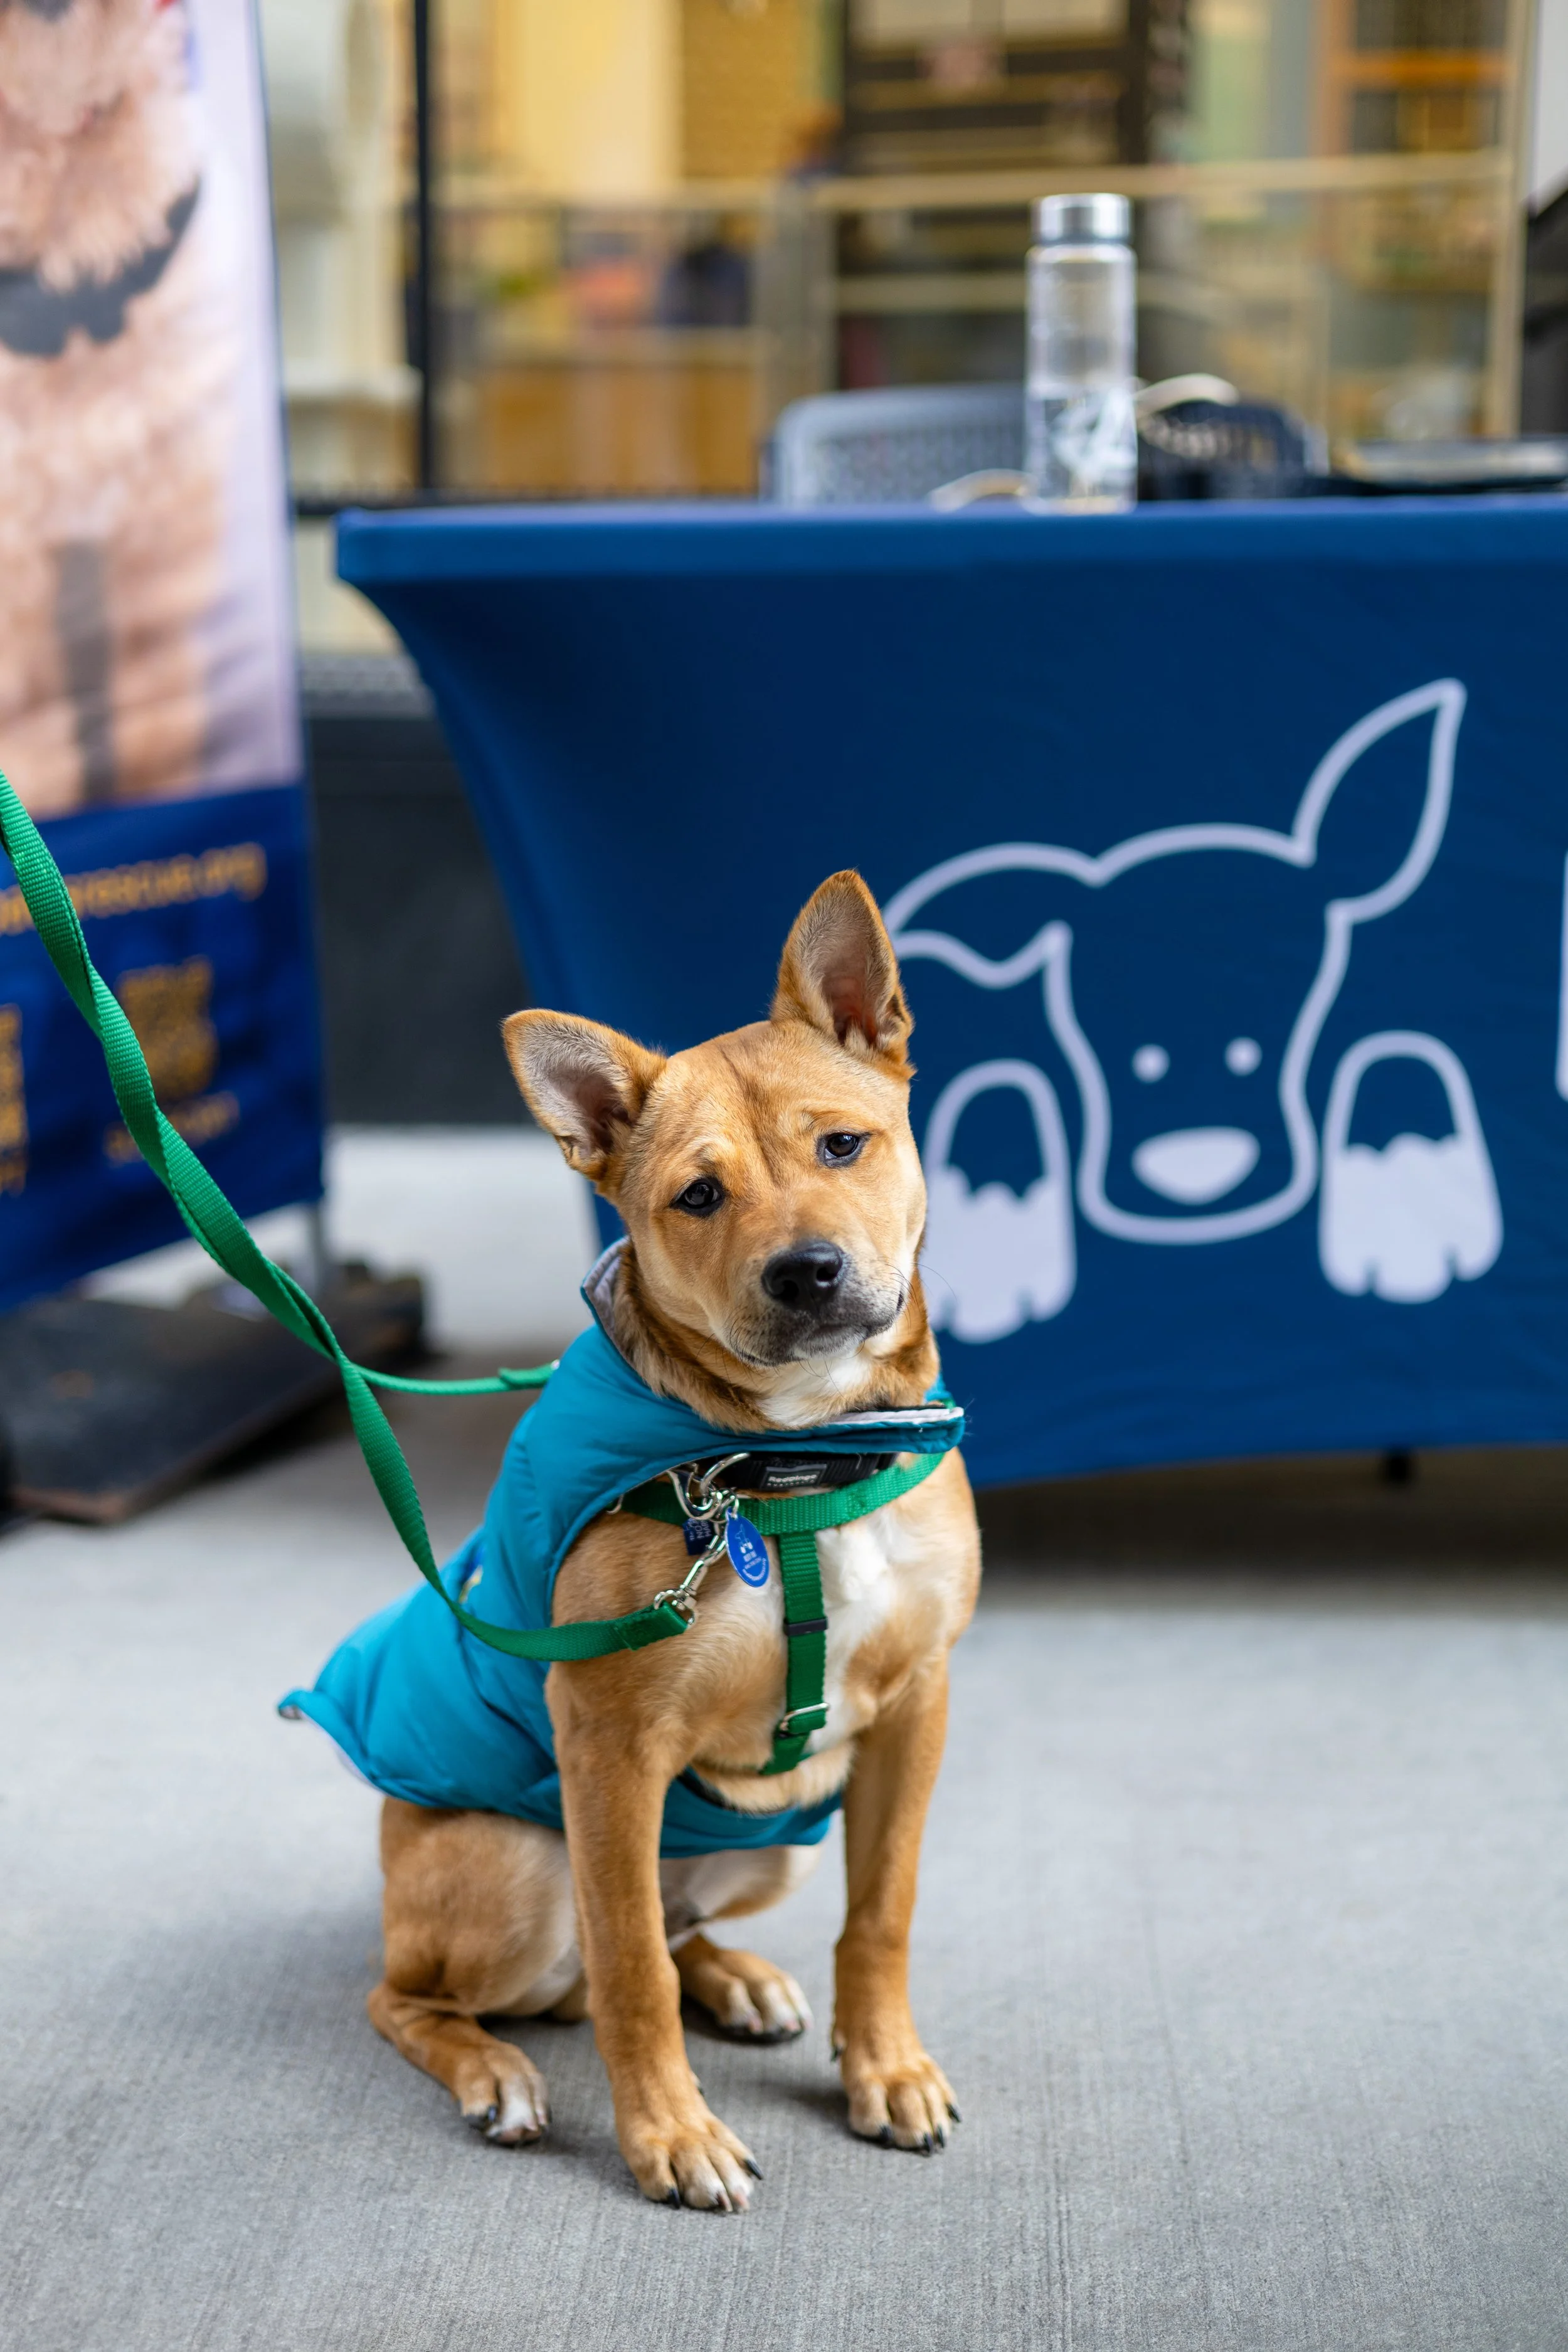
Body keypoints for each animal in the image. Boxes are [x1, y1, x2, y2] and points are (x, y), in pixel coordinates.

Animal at [330, 873, 980, 2209]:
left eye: (844, 1144)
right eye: (698, 1196)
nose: (807, 1272)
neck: (796, 1466)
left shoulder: (917, 1708)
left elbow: (881, 1912)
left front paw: (885, 2068)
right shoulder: (611, 1753)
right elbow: (632, 1973)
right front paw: (669, 2138)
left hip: (780, 1833)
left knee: (672, 1940)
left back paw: (738, 1977)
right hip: (518, 1872)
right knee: (438, 1993)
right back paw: (495, 2075)